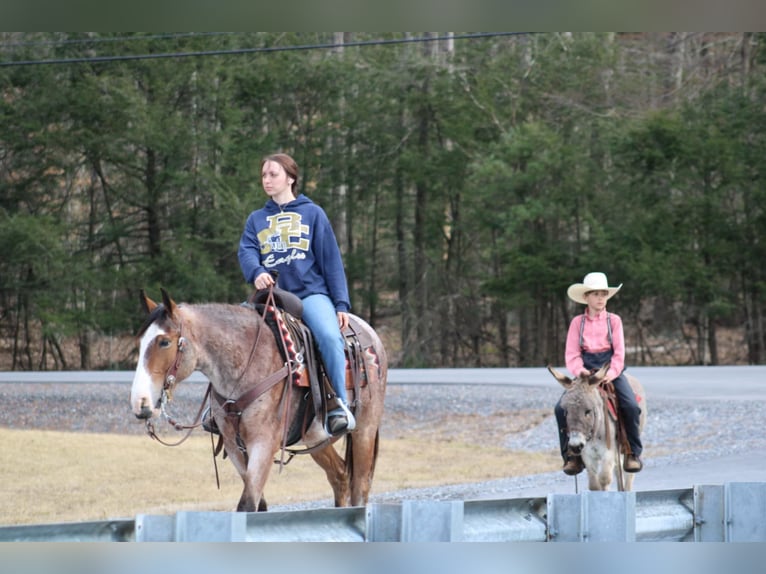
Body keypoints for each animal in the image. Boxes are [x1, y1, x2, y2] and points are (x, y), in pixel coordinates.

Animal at [131, 292, 390, 512]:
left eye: (164, 342)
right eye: (141, 342)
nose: (140, 402)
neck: (246, 364)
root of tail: (372, 336)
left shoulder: (263, 443)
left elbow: (247, 504)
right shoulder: (234, 447)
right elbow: (259, 505)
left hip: (364, 431)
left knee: (360, 488)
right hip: (316, 438)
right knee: (339, 477)